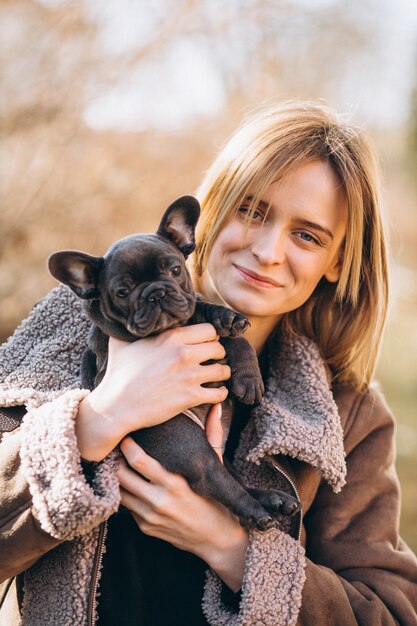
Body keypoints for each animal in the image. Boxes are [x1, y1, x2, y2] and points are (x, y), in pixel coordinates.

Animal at [48, 195, 300, 528]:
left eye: (175, 270)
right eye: (122, 292)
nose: (155, 293)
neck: (176, 327)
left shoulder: (199, 320)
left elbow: (231, 334)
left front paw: (234, 337)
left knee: (235, 478)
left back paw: (274, 499)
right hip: (183, 439)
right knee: (217, 479)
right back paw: (257, 513)